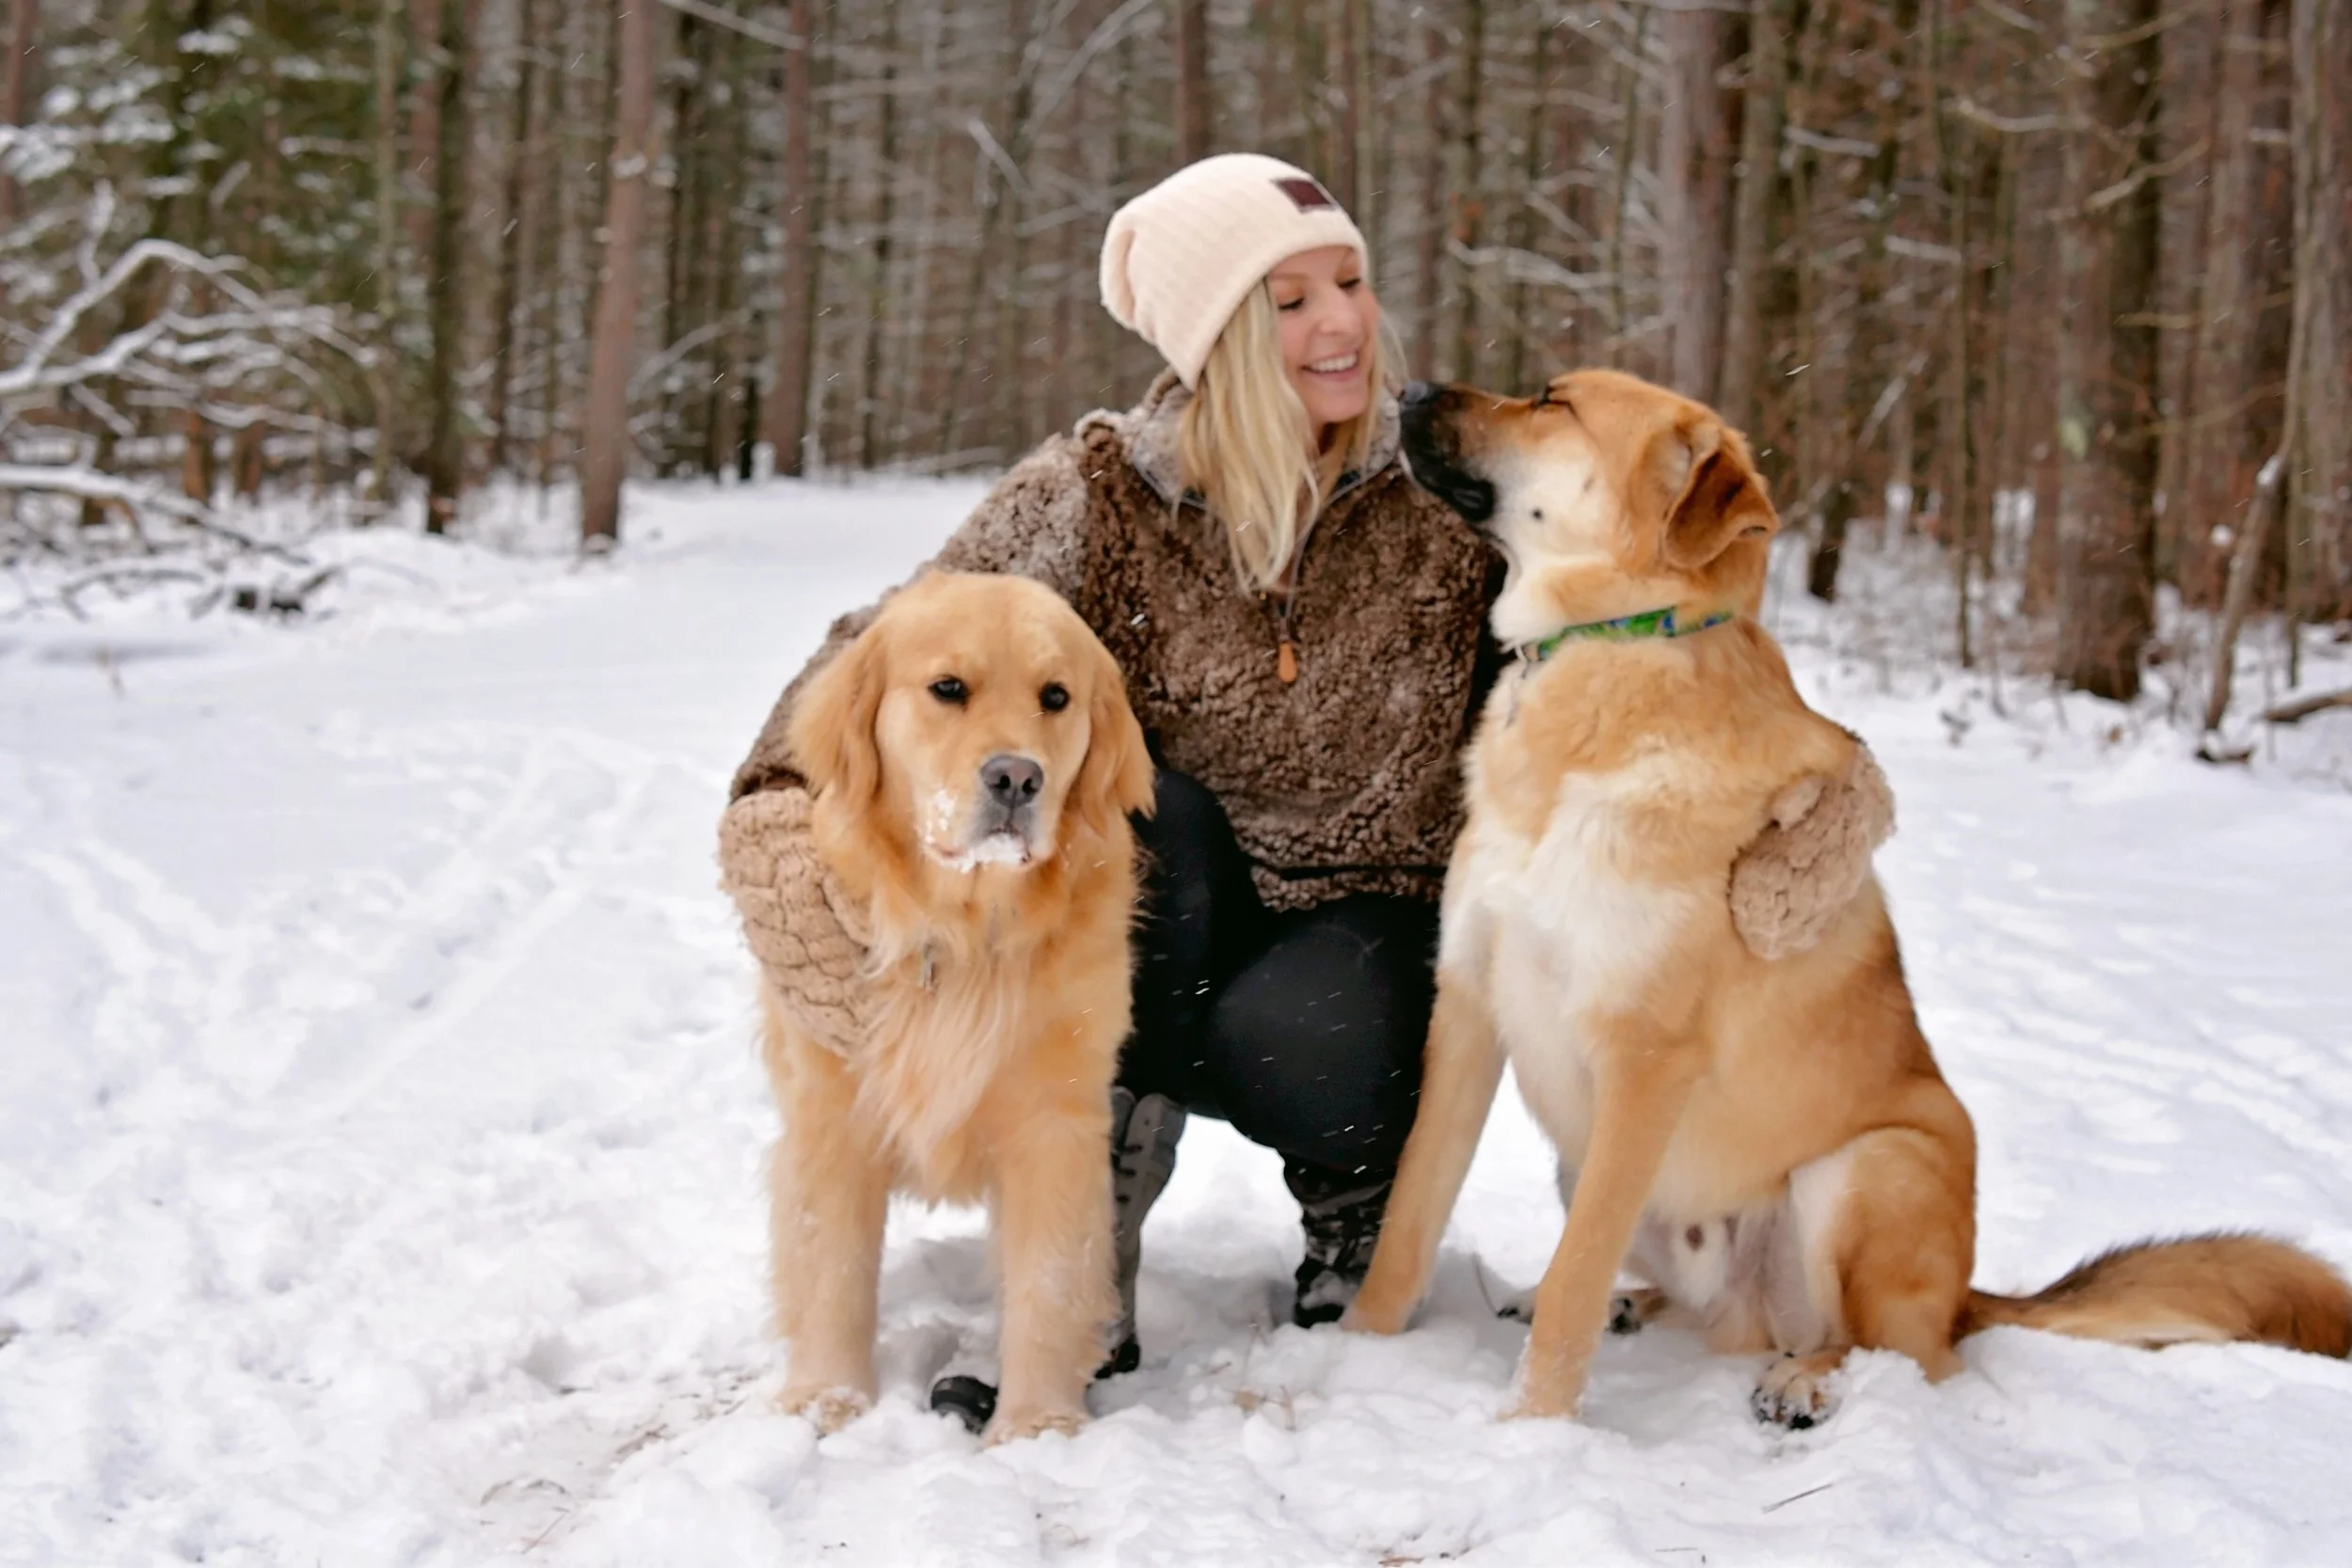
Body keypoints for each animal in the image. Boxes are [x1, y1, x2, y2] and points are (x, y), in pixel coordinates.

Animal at [762, 570, 1154, 1444]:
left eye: (1055, 696)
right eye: (949, 688)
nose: (1016, 777)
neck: (965, 937)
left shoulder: (1057, 1122)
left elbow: (1049, 1278)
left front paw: (1036, 1424)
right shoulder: (831, 1113)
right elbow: (832, 1266)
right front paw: (829, 1398)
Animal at [1344, 369, 2352, 1426]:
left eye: (1553, 402)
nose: (1411, 385)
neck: (1611, 656)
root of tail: (1967, 1293)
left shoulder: (1642, 1058)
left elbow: (1572, 1282)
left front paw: (1530, 1430)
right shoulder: (1468, 1006)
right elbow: (1411, 1215)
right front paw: (1351, 1357)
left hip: (1864, 1169)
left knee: (1900, 1351)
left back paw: (1809, 1379)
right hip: (1590, 1162)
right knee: (1709, 1309)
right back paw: (1644, 1304)